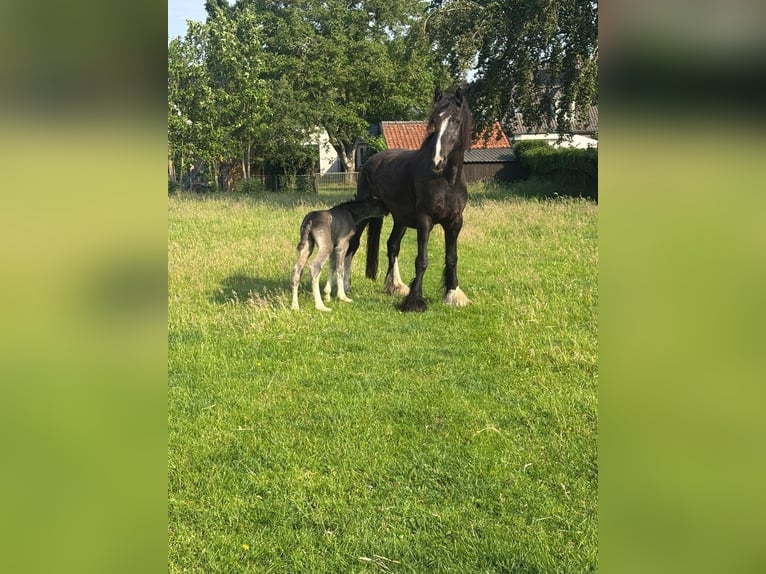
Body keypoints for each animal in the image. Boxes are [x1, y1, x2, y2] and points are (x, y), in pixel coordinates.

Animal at [345, 85, 473, 312]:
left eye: (457, 121)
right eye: (435, 121)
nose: (437, 161)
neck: (446, 181)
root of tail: (370, 161)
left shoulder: (455, 222)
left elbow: (452, 257)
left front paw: (453, 293)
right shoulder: (425, 220)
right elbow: (421, 259)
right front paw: (415, 301)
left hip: (400, 219)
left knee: (392, 245)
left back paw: (395, 286)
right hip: (365, 215)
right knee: (354, 245)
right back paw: (346, 286)